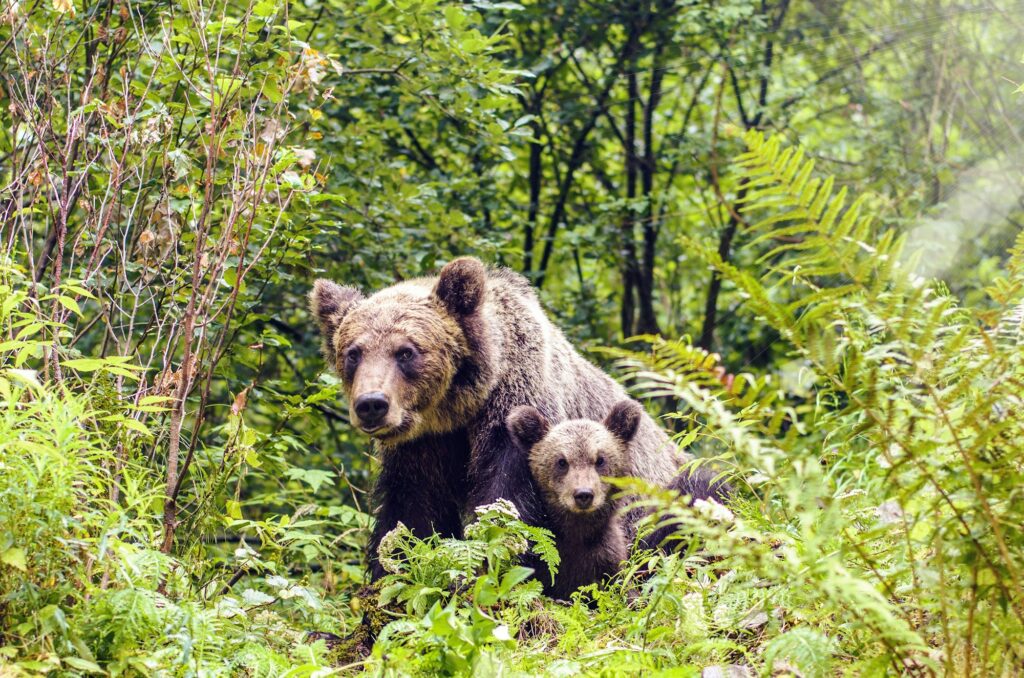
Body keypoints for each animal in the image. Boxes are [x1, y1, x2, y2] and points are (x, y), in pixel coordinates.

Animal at [307, 259, 684, 577]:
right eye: (353, 353)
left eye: (406, 351)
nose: (372, 404)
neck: (456, 412)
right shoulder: (420, 448)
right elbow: (410, 514)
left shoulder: (514, 416)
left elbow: (504, 504)